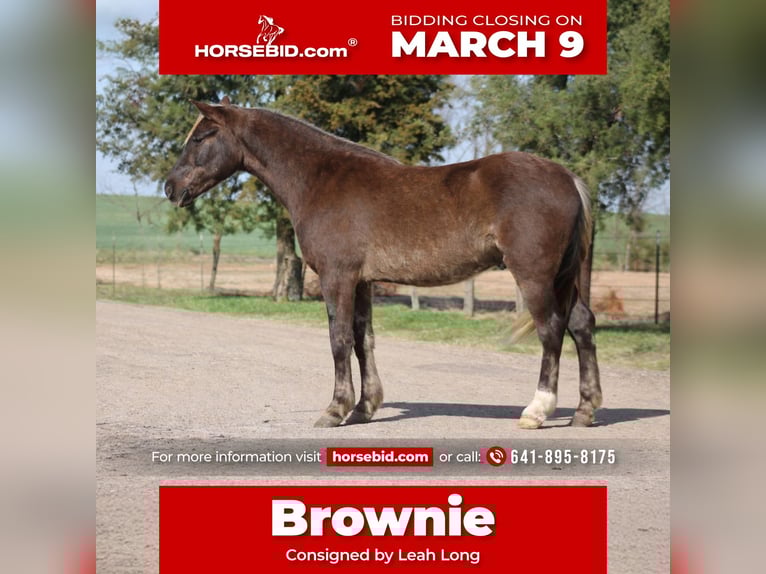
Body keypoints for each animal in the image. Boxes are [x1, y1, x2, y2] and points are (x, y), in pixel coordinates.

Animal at [164, 97, 602, 429]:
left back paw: (537, 411)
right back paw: (585, 411)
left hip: (535, 277)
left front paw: (335, 410)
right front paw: (364, 407)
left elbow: (339, 340)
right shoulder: (362, 281)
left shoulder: (337, 278)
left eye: (201, 137)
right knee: (582, 326)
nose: (170, 187)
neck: (320, 179)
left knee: (551, 331)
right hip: (568, 277)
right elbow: (364, 340)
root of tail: (568, 178)